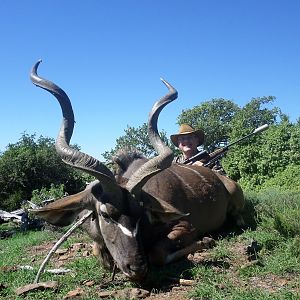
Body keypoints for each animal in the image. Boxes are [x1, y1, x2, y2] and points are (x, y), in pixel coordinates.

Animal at [30, 61, 245, 282]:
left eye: (142, 213)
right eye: (105, 214)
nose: (136, 267)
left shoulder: (185, 226)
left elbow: (157, 254)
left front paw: (206, 241)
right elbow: (98, 252)